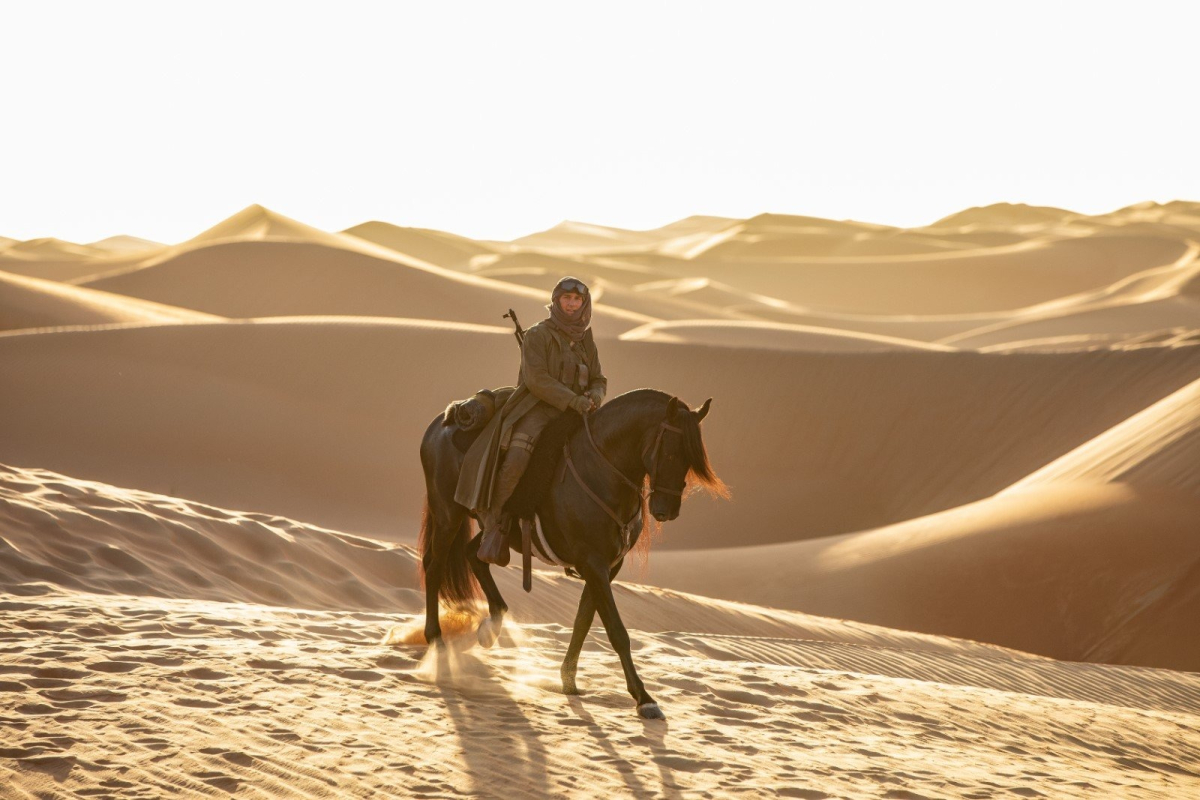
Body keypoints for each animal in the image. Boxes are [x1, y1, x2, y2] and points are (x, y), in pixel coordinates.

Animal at [417, 388, 724, 719]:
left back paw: (491, 627)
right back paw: (437, 642)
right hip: (447, 515)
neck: (602, 470)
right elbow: (617, 631)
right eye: (669, 451)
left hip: (494, 531)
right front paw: (644, 698)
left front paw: (568, 680)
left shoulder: (606, 567)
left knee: (474, 555)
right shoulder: (593, 563)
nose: (667, 510)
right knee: (434, 568)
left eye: (690, 458)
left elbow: (582, 622)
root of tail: (441, 422)